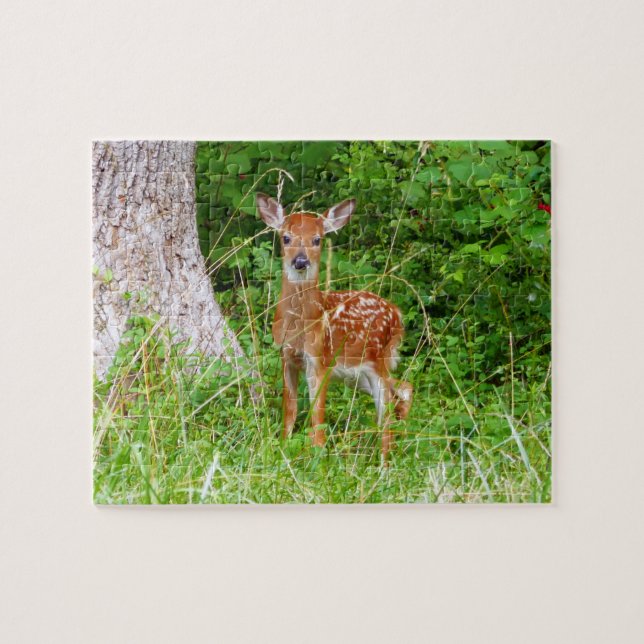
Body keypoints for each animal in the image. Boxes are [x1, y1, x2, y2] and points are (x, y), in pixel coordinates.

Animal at [256, 193, 413, 461]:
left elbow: (317, 414)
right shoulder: (287, 356)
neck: (301, 326)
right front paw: (283, 447)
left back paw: (385, 462)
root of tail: (397, 314)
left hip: (377, 359)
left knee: (387, 410)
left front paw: (318, 456)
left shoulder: (321, 359)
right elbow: (290, 408)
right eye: (286, 237)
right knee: (402, 389)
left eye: (317, 239)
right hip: (357, 373)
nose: (300, 261)